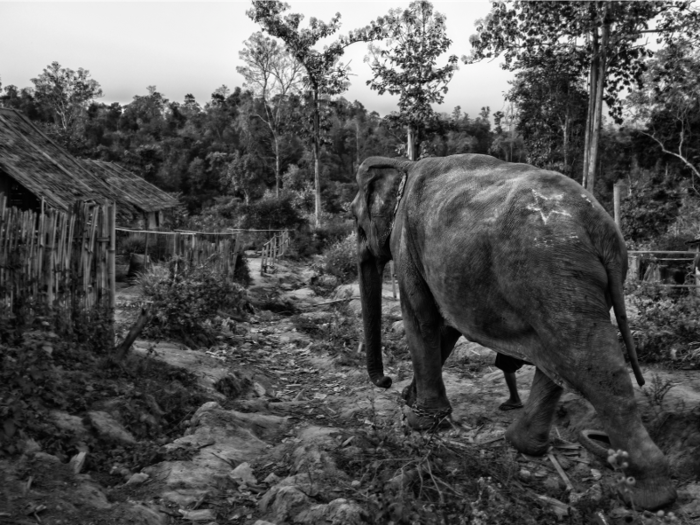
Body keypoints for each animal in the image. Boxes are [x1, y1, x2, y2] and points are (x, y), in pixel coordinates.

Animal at [352, 151, 676, 508]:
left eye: (355, 221)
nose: (386, 382)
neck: (404, 165)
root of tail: (603, 229)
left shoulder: (407, 243)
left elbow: (422, 318)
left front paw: (419, 421)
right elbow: (445, 327)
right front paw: (412, 401)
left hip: (550, 270)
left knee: (589, 363)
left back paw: (650, 495)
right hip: (566, 281)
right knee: (562, 357)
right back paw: (523, 444)